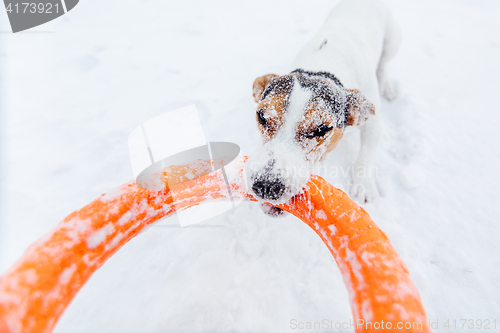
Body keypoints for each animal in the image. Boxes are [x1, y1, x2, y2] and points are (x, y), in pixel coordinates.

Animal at [248, 0, 400, 215]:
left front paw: (363, 184)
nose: (266, 186)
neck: (322, 67)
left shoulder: (373, 124)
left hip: (393, 40)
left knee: (385, 63)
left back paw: (386, 84)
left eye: (321, 129)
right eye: (261, 116)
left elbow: (366, 154)